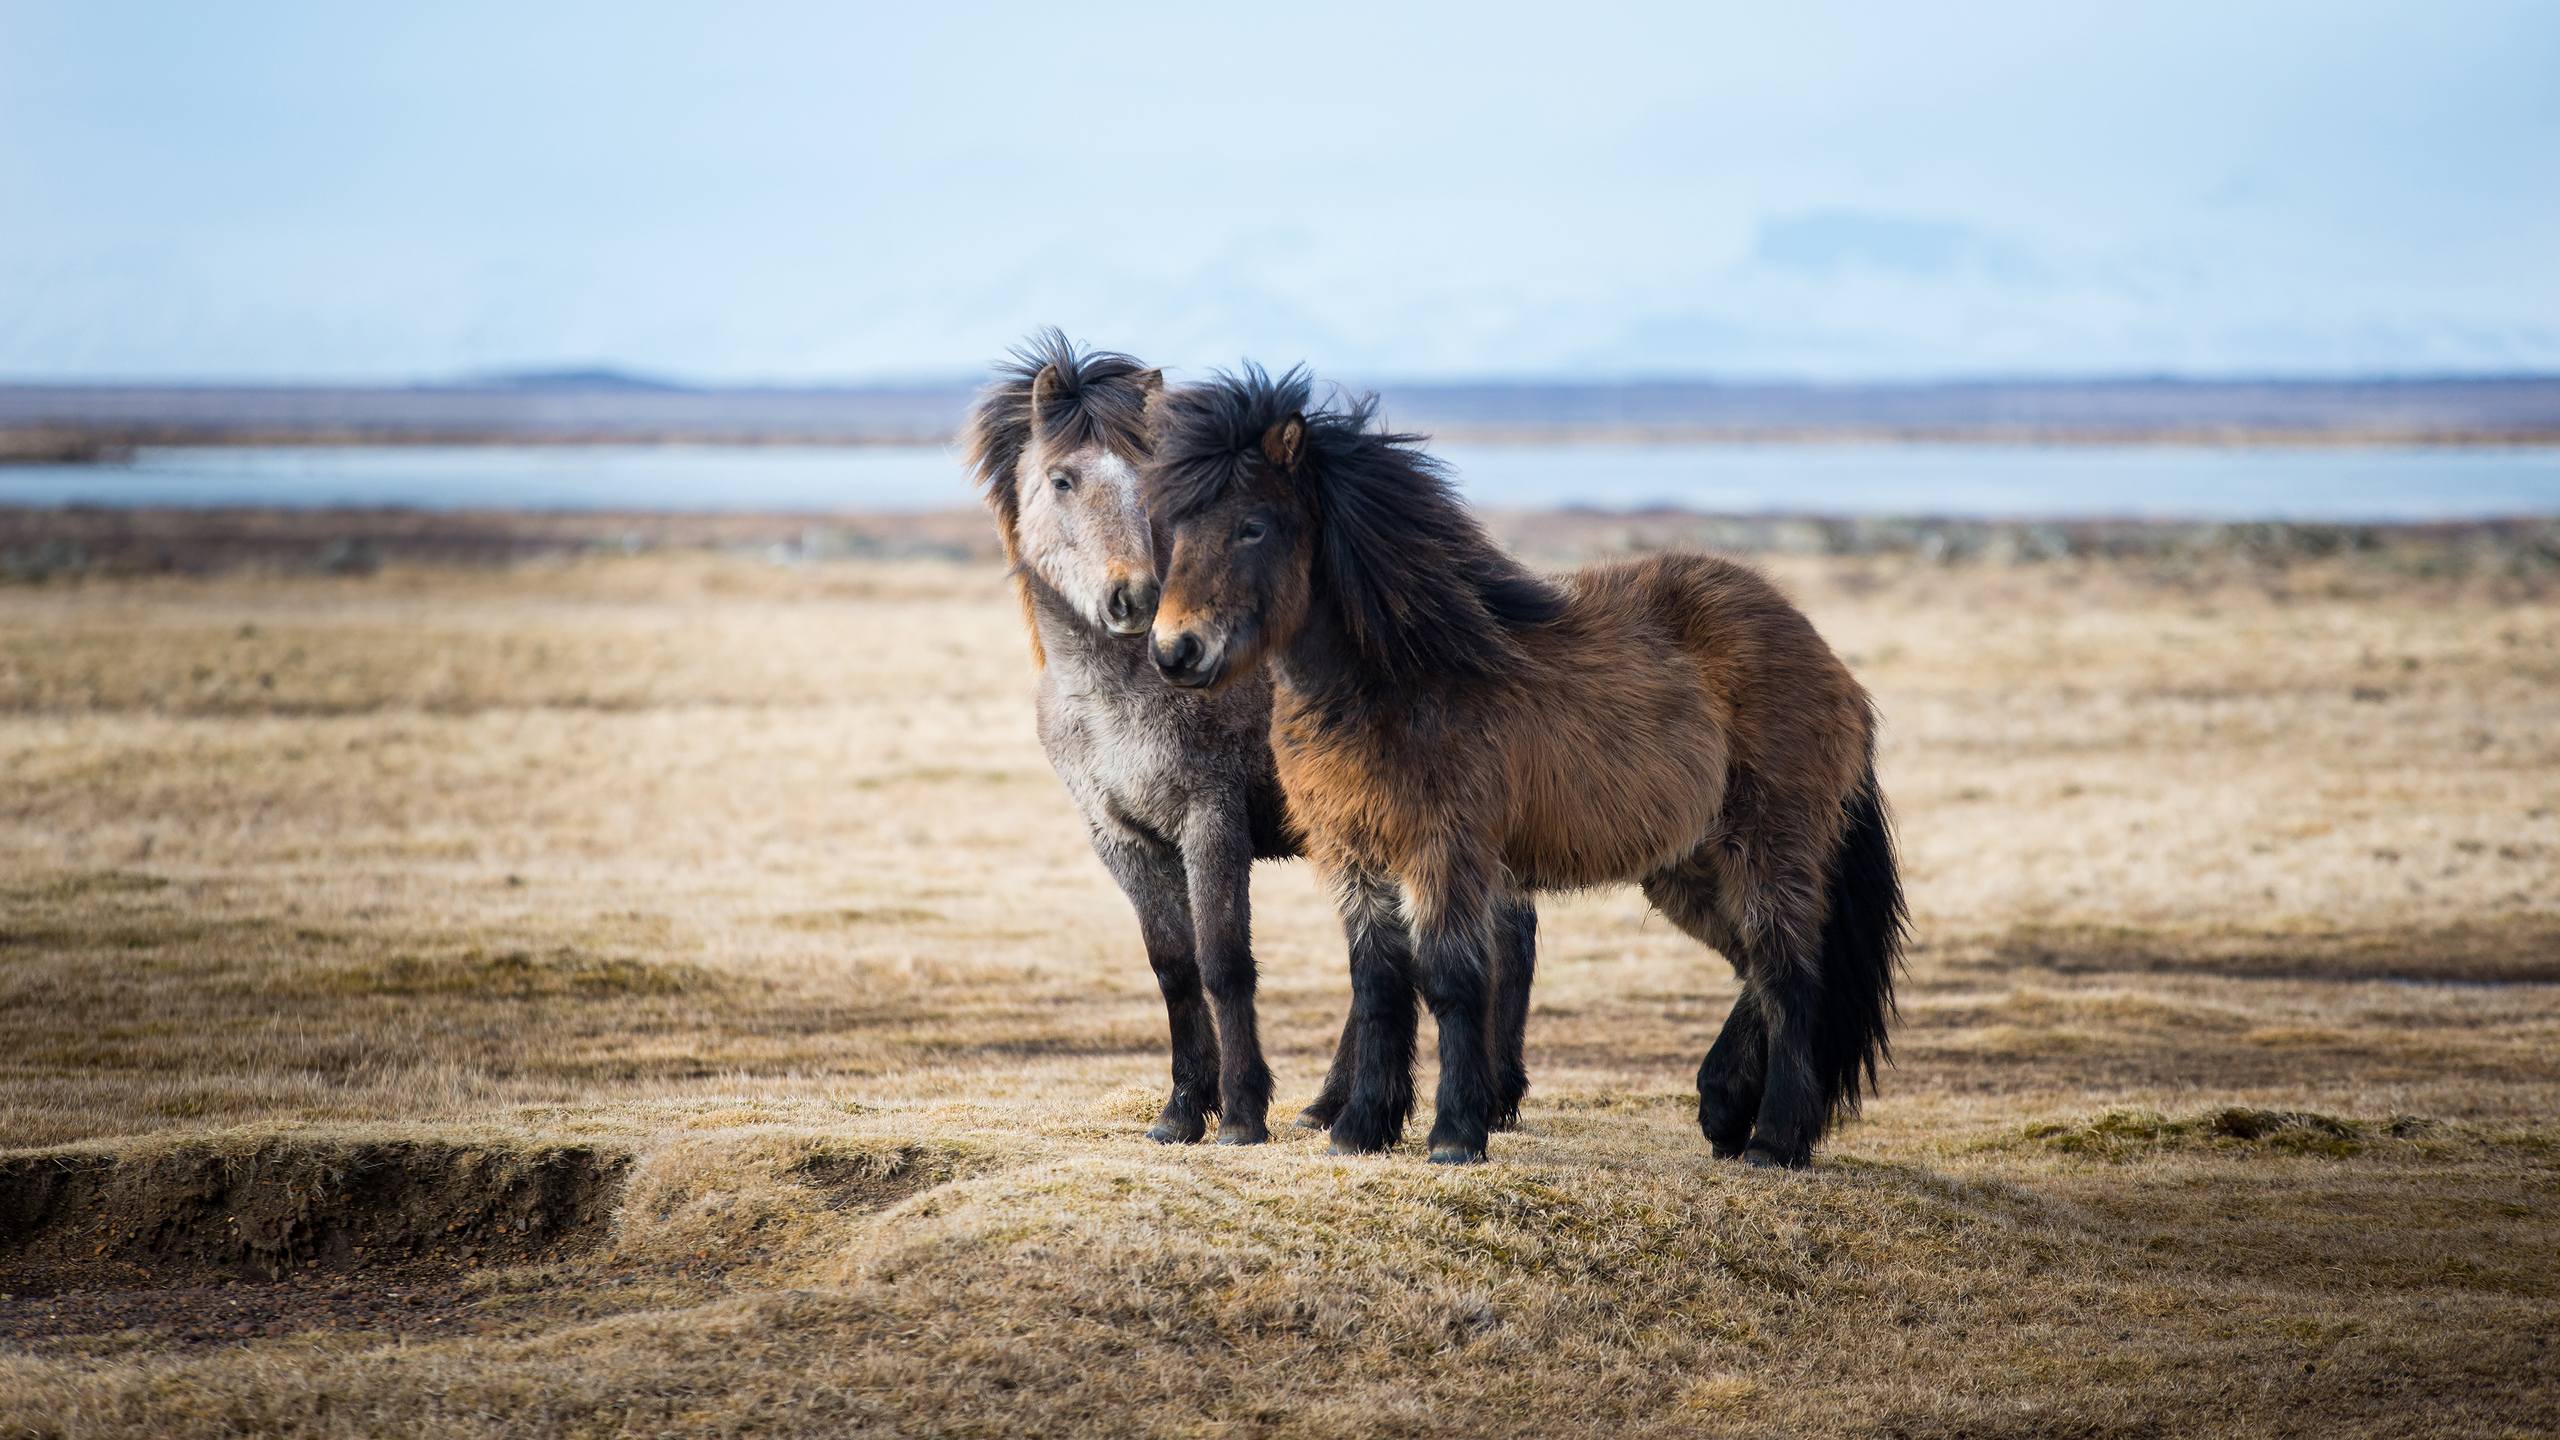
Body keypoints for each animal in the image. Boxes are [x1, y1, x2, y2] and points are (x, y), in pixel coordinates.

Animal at [1141, 363, 1904, 1158]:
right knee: (1756, 965)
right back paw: (1723, 1108)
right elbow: (1377, 984)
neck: (1402, 675)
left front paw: (1454, 1134)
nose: (1175, 651)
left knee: (1790, 974)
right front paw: (1362, 1128)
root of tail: (1829, 662)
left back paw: (1775, 1139)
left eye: (1252, 525)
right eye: (1176, 527)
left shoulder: (1445, 850)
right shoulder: (1354, 853)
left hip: (1768, 846)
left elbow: (1449, 980)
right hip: (1687, 865)